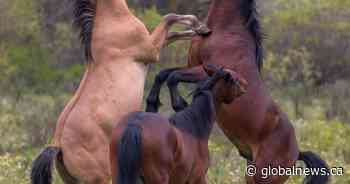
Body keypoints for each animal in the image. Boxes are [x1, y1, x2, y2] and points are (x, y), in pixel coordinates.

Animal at [30, 0, 209, 184]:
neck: (111, 19)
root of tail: (59, 147)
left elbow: (174, 33)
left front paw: (199, 29)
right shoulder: (151, 49)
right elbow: (169, 18)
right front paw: (199, 25)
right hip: (103, 177)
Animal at [144, 0, 330, 183]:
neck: (225, 29)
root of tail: (297, 152)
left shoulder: (207, 70)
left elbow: (173, 77)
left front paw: (180, 105)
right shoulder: (193, 65)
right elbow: (163, 74)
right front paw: (153, 103)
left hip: (262, 177)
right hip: (251, 173)